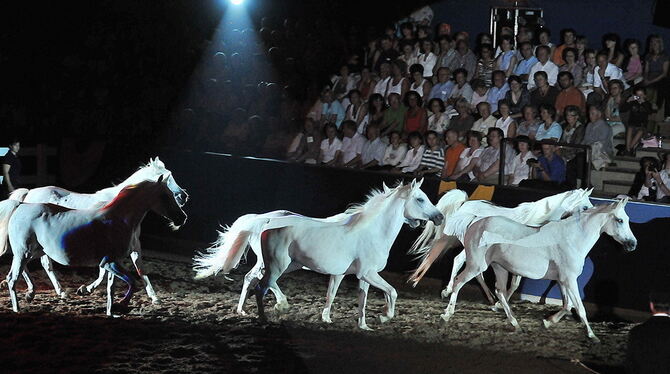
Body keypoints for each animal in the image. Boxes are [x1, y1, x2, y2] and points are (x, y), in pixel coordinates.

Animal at [7, 158, 189, 304]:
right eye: (168, 178)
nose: (184, 196)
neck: (121, 208)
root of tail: (28, 194)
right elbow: (103, 272)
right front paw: (86, 289)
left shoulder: (134, 246)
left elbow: (140, 269)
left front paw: (154, 297)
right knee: (37, 264)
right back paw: (44, 291)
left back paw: (46, 292)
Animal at [244, 180, 444, 328]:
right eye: (420, 199)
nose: (440, 217)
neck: (374, 232)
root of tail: (266, 224)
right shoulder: (367, 273)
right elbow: (392, 292)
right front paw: (384, 316)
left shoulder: (360, 276)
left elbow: (358, 299)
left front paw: (363, 326)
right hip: (277, 266)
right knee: (260, 287)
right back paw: (264, 317)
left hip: (286, 265)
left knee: (254, 280)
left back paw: (246, 310)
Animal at [410, 188, 592, 306]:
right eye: (585, 206)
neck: (536, 220)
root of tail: (464, 204)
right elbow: (515, 282)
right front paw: (500, 303)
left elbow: (515, 283)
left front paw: (499, 302)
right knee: (459, 261)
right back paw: (448, 290)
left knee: (472, 269)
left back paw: (489, 297)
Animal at [444, 199, 636, 342]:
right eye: (620, 220)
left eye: (627, 219)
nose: (633, 244)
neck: (572, 238)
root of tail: (476, 222)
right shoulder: (570, 279)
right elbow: (580, 308)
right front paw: (592, 335)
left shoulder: (562, 280)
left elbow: (568, 305)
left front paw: (548, 322)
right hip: (476, 265)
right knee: (459, 282)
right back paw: (447, 313)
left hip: (499, 267)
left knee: (499, 291)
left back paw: (515, 324)